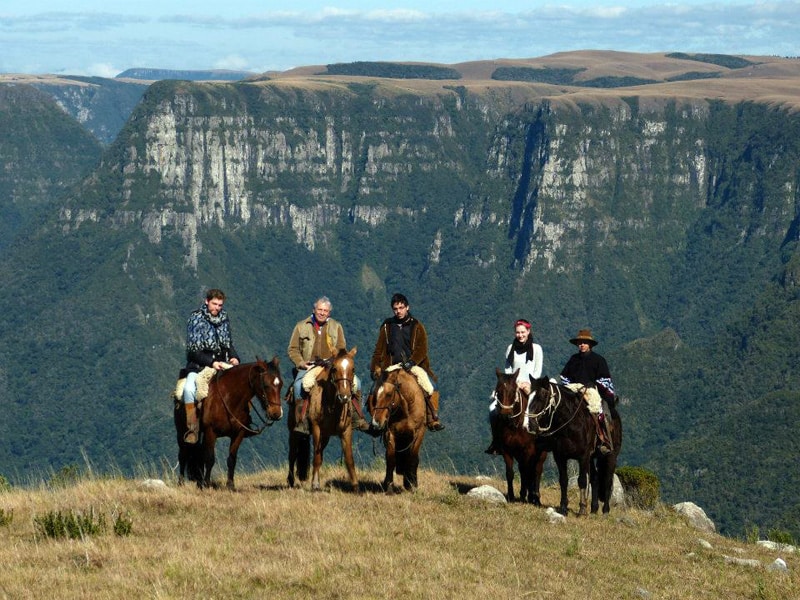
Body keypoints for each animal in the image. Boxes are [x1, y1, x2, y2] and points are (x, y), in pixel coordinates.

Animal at [175, 354, 284, 490]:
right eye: (265, 384)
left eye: (281, 385)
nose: (276, 413)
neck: (229, 398)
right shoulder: (211, 432)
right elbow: (210, 459)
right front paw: (207, 484)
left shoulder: (238, 433)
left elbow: (232, 459)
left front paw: (230, 485)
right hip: (181, 431)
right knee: (183, 455)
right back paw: (181, 483)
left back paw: (199, 482)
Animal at [288, 346, 360, 492]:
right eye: (334, 369)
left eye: (353, 369)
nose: (344, 397)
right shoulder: (317, 428)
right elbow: (316, 457)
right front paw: (315, 485)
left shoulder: (346, 430)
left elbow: (349, 458)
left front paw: (356, 486)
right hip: (294, 432)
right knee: (292, 454)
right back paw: (291, 481)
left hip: (326, 436)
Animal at [490, 368, 548, 504]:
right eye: (498, 391)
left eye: (513, 391)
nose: (505, 415)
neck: (514, 425)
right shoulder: (506, 450)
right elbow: (510, 473)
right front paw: (511, 496)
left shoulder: (527, 450)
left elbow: (526, 472)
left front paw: (523, 496)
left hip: (541, 453)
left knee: (536, 471)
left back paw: (535, 498)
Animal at [528, 380, 620, 516]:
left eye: (542, 396)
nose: (531, 424)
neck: (570, 424)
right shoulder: (560, 457)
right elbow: (563, 480)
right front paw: (563, 508)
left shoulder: (583, 456)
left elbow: (582, 480)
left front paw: (582, 509)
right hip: (591, 458)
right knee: (595, 478)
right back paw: (594, 509)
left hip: (610, 456)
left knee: (608, 480)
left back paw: (605, 511)